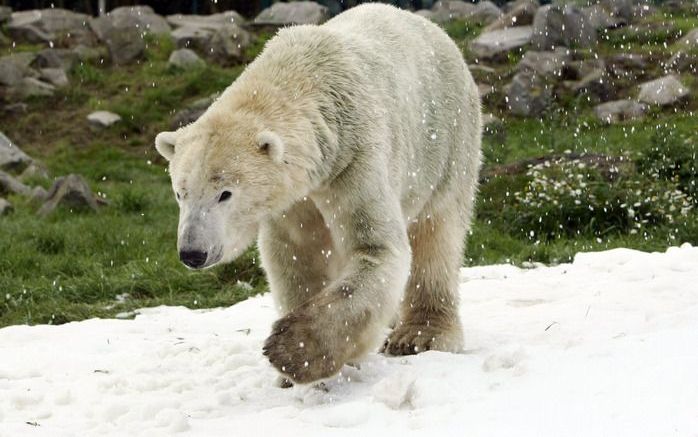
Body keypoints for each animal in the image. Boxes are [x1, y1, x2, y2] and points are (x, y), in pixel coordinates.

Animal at [154, 5, 478, 384]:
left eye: (225, 194)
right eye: (181, 193)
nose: (192, 253)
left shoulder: (354, 158)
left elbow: (375, 248)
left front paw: (293, 351)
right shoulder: (293, 198)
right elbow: (297, 257)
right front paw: (293, 373)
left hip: (446, 144)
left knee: (436, 234)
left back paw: (420, 335)